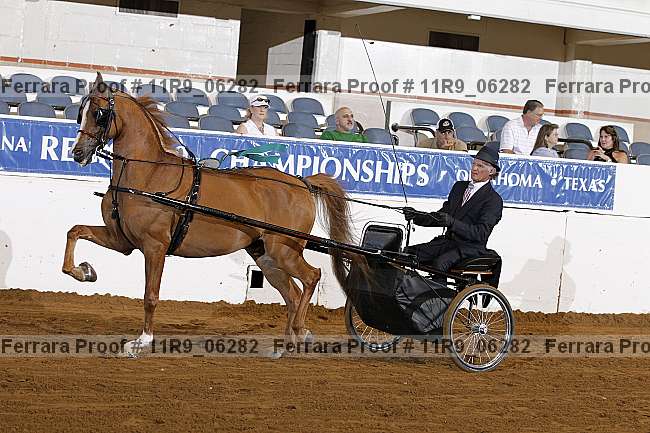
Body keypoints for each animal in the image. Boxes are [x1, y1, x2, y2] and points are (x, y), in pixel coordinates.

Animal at [63, 72, 366, 355]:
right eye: (81, 112)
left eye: (99, 114)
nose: (77, 153)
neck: (149, 174)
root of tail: (301, 181)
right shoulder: (122, 240)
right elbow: (75, 231)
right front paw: (84, 271)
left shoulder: (154, 246)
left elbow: (151, 295)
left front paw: (142, 341)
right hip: (265, 255)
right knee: (292, 293)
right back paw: (285, 344)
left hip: (284, 249)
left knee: (311, 277)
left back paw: (301, 332)